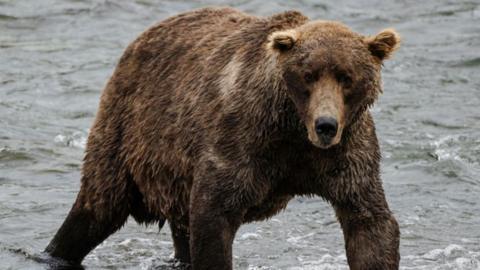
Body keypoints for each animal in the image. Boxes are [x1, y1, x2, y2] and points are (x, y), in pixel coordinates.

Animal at [45, 6, 400, 270]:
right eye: (308, 75)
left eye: (346, 77)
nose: (326, 124)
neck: (293, 130)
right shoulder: (242, 139)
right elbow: (214, 214)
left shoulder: (346, 154)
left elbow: (369, 222)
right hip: (130, 132)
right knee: (97, 206)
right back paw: (55, 251)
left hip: (174, 176)